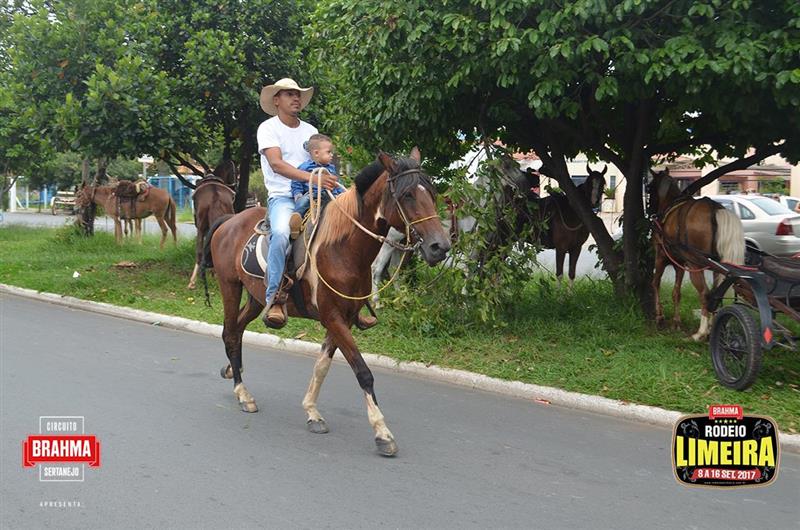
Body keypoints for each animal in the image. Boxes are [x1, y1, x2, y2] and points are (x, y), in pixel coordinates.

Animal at [204, 149, 450, 456]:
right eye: (407, 195)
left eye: (432, 193)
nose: (440, 246)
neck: (343, 248)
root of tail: (228, 221)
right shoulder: (332, 317)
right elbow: (363, 372)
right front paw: (382, 432)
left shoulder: (344, 319)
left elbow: (322, 366)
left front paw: (312, 412)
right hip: (230, 286)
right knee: (229, 332)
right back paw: (242, 393)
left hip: (257, 298)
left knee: (235, 332)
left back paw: (232, 372)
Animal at [648, 168, 745, 340]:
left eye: (649, 188)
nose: (650, 213)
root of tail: (714, 210)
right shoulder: (679, 262)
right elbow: (676, 292)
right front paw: (676, 322)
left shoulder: (661, 257)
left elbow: (655, 283)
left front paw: (660, 317)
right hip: (716, 265)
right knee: (715, 293)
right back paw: (713, 327)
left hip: (695, 264)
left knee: (705, 294)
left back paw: (701, 333)